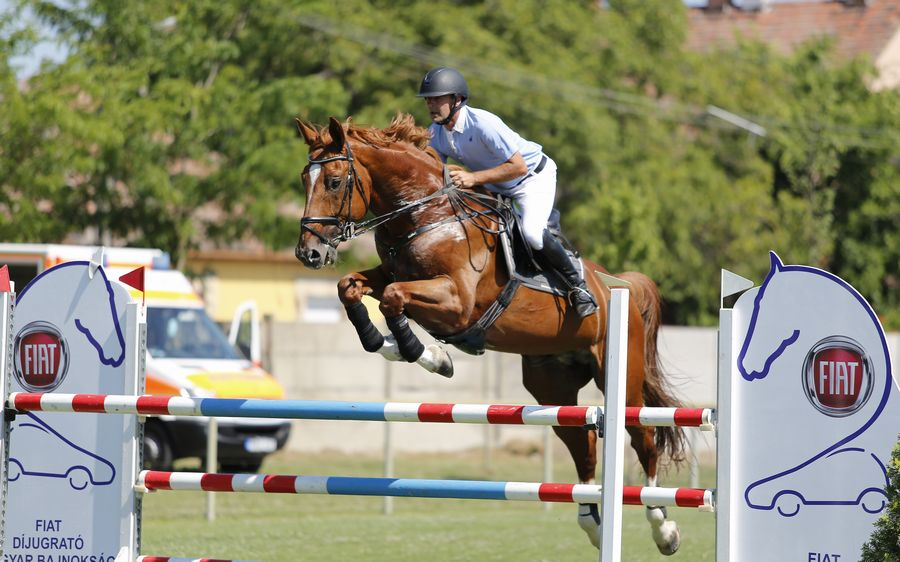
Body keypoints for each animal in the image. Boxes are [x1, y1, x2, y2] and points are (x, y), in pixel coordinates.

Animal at [298, 112, 688, 552]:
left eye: (333, 182)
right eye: (303, 179)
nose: (308, 253)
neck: (426, 215)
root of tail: (617, 285)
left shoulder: (457, 302)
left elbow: (394, 300)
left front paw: (426, 354)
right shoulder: (392, 276)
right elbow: (350, 287)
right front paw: (396, 346)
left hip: (623, 377)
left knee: (644, 439)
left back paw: (663, 527)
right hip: (552, 388)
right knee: (583, 447)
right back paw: (593, 524)